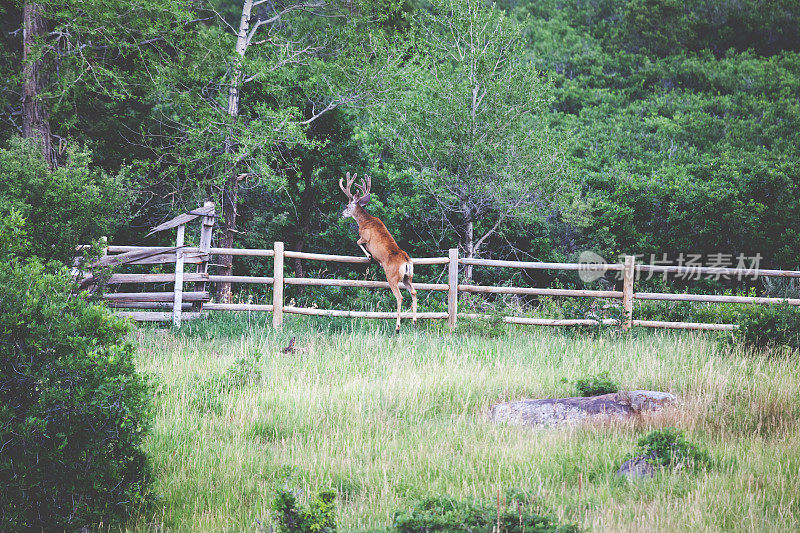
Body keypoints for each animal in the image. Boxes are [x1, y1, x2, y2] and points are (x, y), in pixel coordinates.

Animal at [340, 172, 418, 330]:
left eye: (347, 205)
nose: (342, 214)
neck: (364, 221)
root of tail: (407, 261)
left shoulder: (364, 236)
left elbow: (358, 242)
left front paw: (369, 256)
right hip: (408, 277)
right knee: (414, 292)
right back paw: (414, 322)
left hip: (392, 277)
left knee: (400, 297)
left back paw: (397, 327)